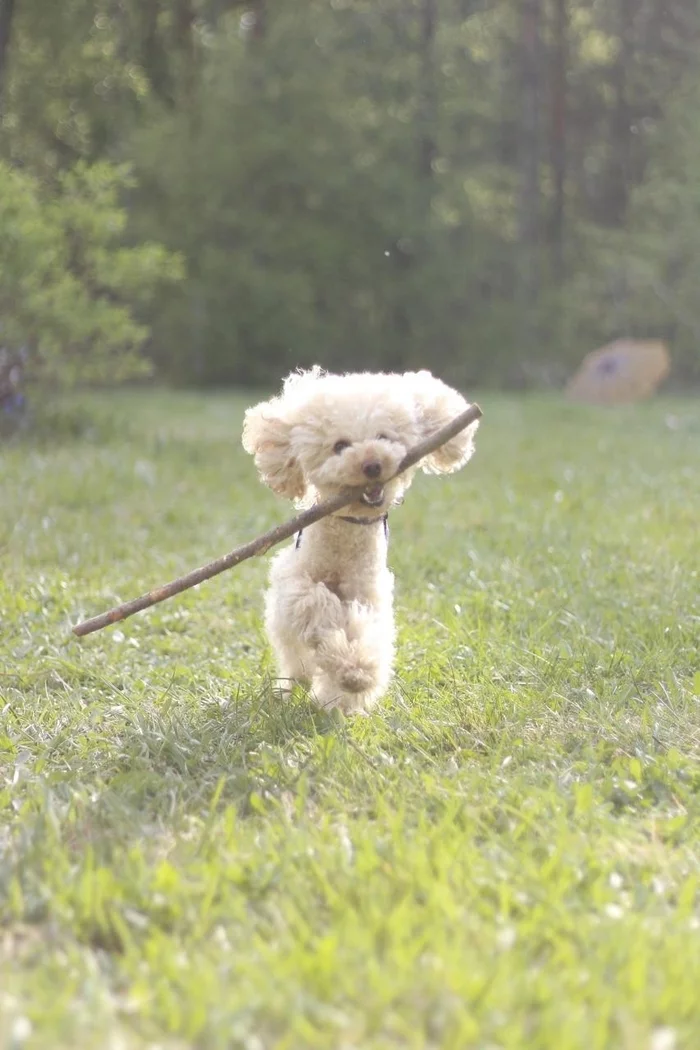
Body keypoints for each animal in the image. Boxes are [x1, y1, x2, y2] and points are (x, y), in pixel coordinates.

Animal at [243, 365, 478, 718]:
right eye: (340, 445)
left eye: (383, 437)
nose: (372, 465)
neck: (346, 538)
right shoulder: (293, 584)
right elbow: (316, 602)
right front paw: (338, 646)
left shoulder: (370, 596)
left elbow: (366, 634)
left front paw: (356, 671)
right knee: (297, 664)